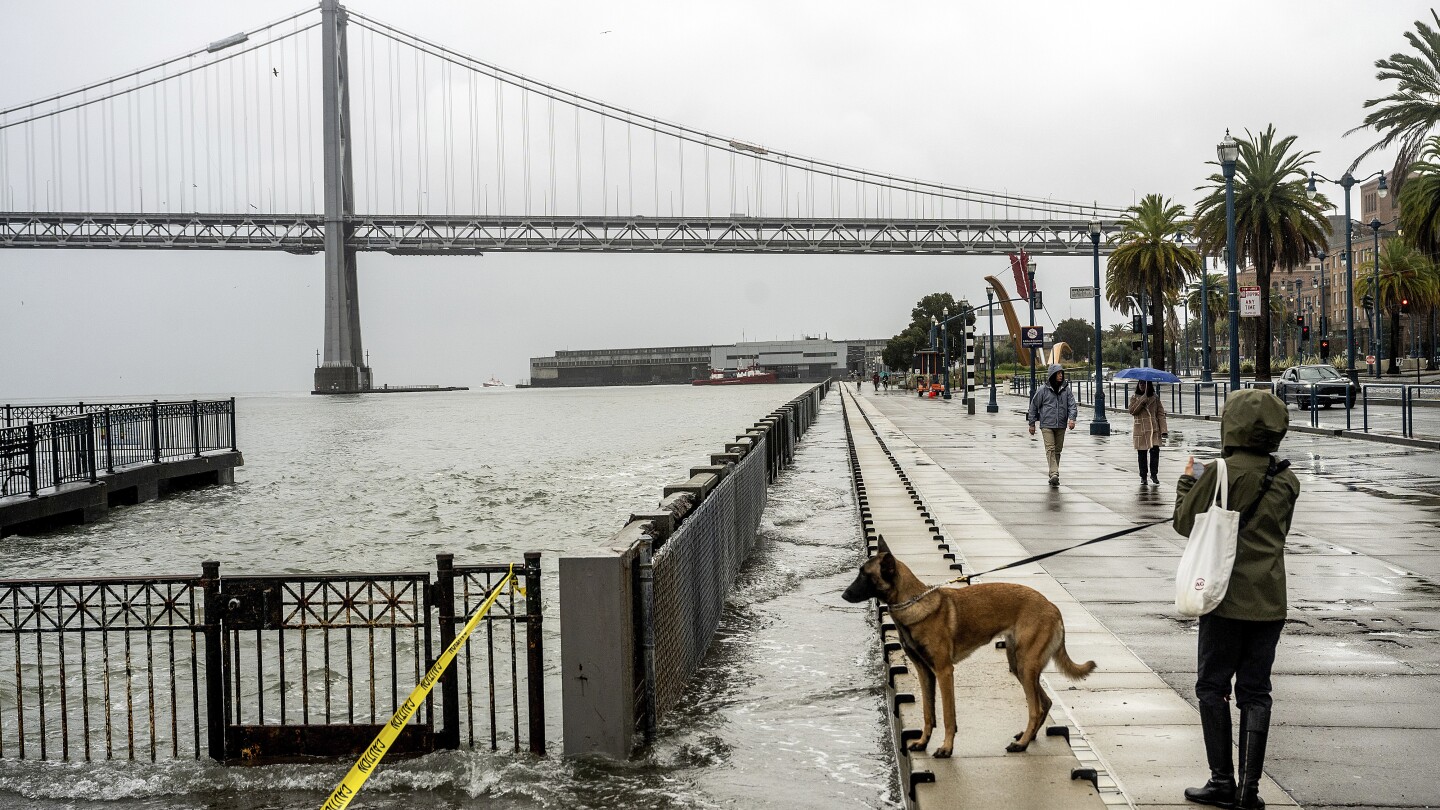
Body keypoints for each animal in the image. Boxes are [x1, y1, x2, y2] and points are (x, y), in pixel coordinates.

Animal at [840, 539, 1094, 755]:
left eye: (865, 575)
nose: (843, 594)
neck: (913, 602)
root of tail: (1052, 606)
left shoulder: (944, 671)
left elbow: (947, 715)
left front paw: (946, 748)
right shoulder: (924, 672)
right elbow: (928, 713)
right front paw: (923, 742)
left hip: (1025, 664)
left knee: (1036, 708)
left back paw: (1021, 745)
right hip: (1018, 665)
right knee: (1045, 702)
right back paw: (1027, 737)